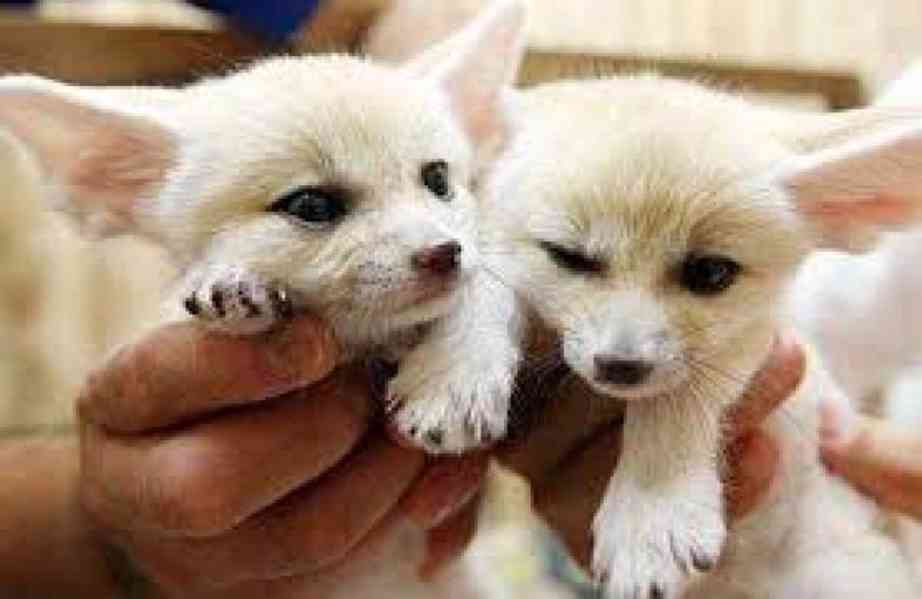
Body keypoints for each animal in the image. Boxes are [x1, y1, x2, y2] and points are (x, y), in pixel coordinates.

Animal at [481, 74, 922, 598]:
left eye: (711, 273)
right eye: (568, 256)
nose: (621, 366)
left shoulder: (757, 336)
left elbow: (674, 395)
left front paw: (650, 515)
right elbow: (489, 285)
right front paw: (459, 375)